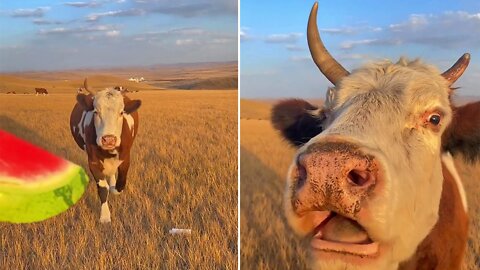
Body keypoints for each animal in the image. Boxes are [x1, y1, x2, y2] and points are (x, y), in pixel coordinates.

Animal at [69, 79, 142, 223]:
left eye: (121, 112)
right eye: (96, 112)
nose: (109, 139)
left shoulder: (125, 158)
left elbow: (120, 184)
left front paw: (114, 188)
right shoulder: (93, 161)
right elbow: (103, 188)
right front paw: (105, 216)